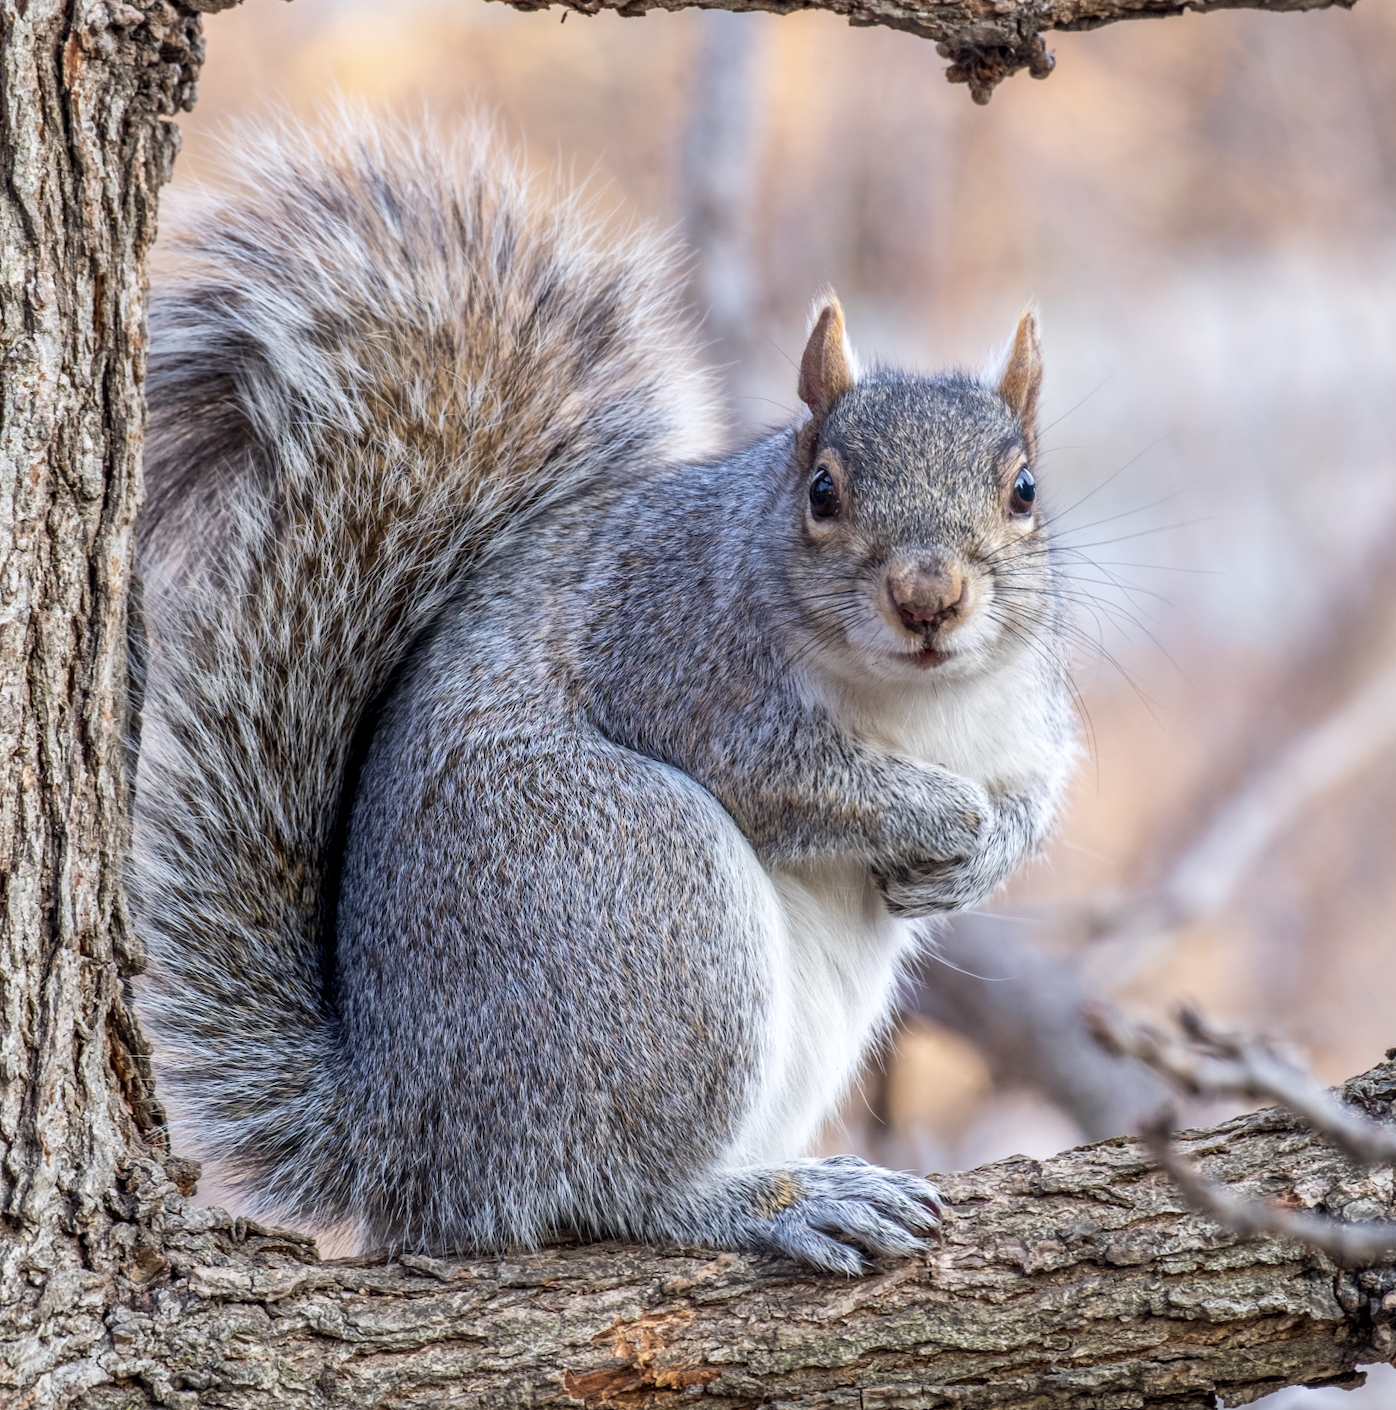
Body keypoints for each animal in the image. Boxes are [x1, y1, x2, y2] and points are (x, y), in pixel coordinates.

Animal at [130, 115, 1077, 1274]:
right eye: (822, 491)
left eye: (1024, 490)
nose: (928, 598)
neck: (916, 704)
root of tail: (407, 1135)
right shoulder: (678, 664)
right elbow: (790, 785)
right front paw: (941, 817)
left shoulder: (1027, 720)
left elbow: (1037, 795)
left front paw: (984, 852)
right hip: (639, 892)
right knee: (610, 1187)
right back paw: (772, 1201)